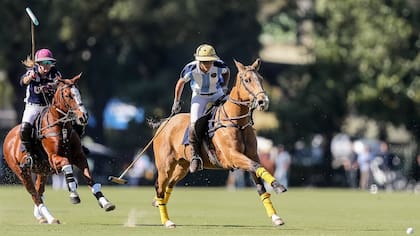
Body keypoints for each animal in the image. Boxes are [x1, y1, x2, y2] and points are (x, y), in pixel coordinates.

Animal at [2, 74, 115, 224]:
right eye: (68, 95)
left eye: (79, 93)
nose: (84, 116)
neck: (62, 127)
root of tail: (8, 137)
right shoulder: (54, 158)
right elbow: (68, 169)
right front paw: (74, 195)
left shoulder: (79, 157)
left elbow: (90, 179)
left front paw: (105, 202)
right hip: (21, 172)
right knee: (34, 195)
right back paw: (50, 218)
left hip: (42, 171)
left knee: (39, 191)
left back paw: (41, 217)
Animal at [149, 58, 288, 228]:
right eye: (247, 80)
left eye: (261, 79)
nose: (263, 101)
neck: (237, 122)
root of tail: (164, 123)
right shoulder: (233, 156)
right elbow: (257, 167)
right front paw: (279, 186)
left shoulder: (252, 155)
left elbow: (260, 184)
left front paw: (276, 217)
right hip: (165, 165)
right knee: (159, 187)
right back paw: (167, 221)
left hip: (183, 165)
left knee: (169, 185)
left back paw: (158, 203)